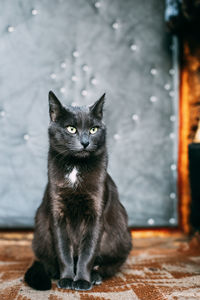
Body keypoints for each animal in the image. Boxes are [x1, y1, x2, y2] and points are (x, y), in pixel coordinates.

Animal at [24, 91, 132, 290]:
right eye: (71, 129)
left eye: (94, 129)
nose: (85, 142)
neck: (76, 166)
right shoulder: (57, 214)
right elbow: (63, 251)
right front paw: (67, 279)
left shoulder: (96, 215)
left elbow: (88, 252)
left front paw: (82, 280)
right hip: (40, 238)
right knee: (48, 262)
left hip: (121, 238)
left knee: (109, 265)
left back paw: (95, 276)